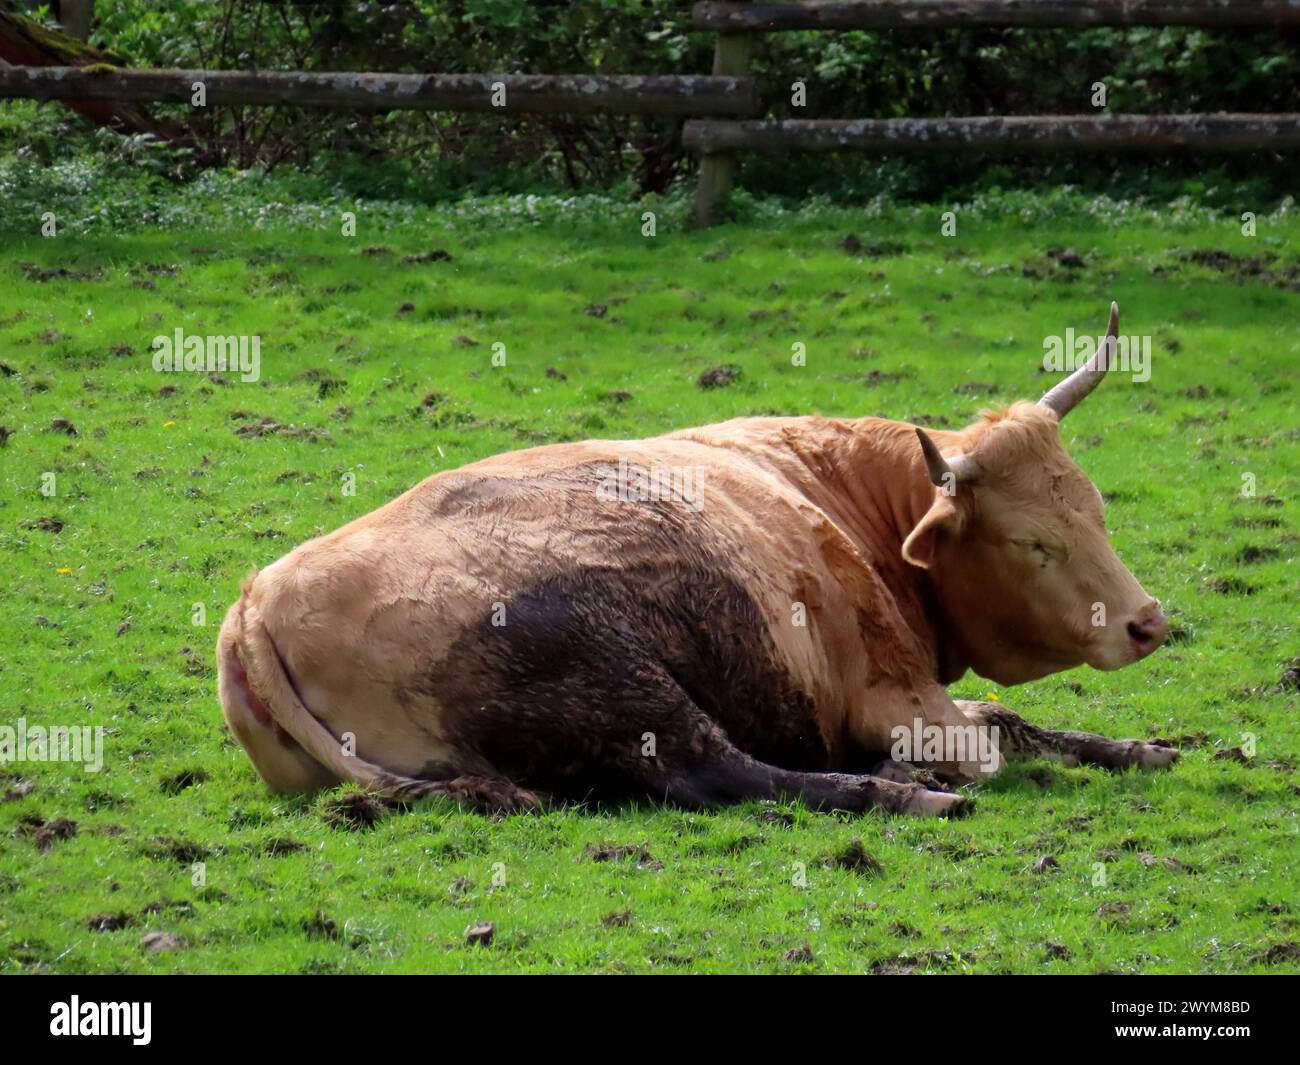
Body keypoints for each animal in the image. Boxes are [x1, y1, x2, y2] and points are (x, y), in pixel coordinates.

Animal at [220, 304, 1180, 821]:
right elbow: (986, 741)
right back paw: (901, 791)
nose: (1148, 621)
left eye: (1095, 510)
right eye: (1032, 541)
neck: (842, 495)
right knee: (717, 771)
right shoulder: (899, 698)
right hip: (617, 679)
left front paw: (1138, 746)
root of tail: (257, 602)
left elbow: (1015, 721)